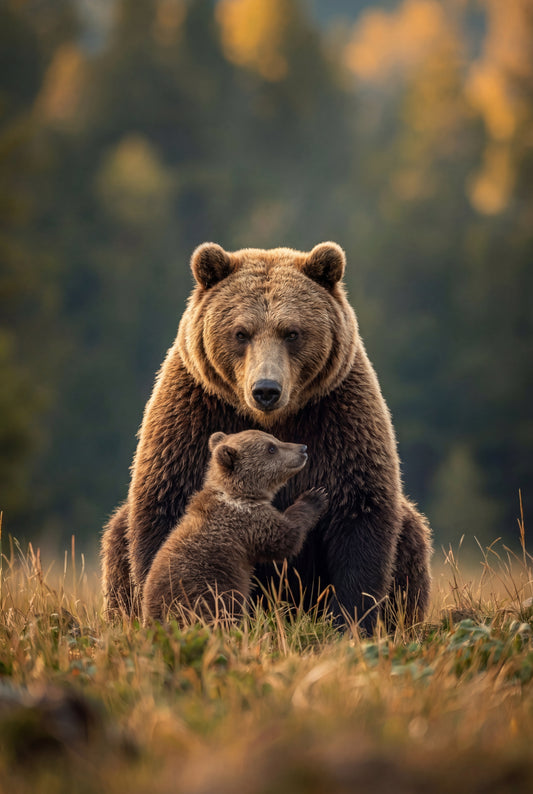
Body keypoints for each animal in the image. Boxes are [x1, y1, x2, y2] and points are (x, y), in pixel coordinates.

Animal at [142, 429, 328, 624]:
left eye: (274, 439)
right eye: (271, 448)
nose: (303, 448)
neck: (235, 494)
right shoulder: (248, 522)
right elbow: (286, 538)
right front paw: (315, 497)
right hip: (204, 593)